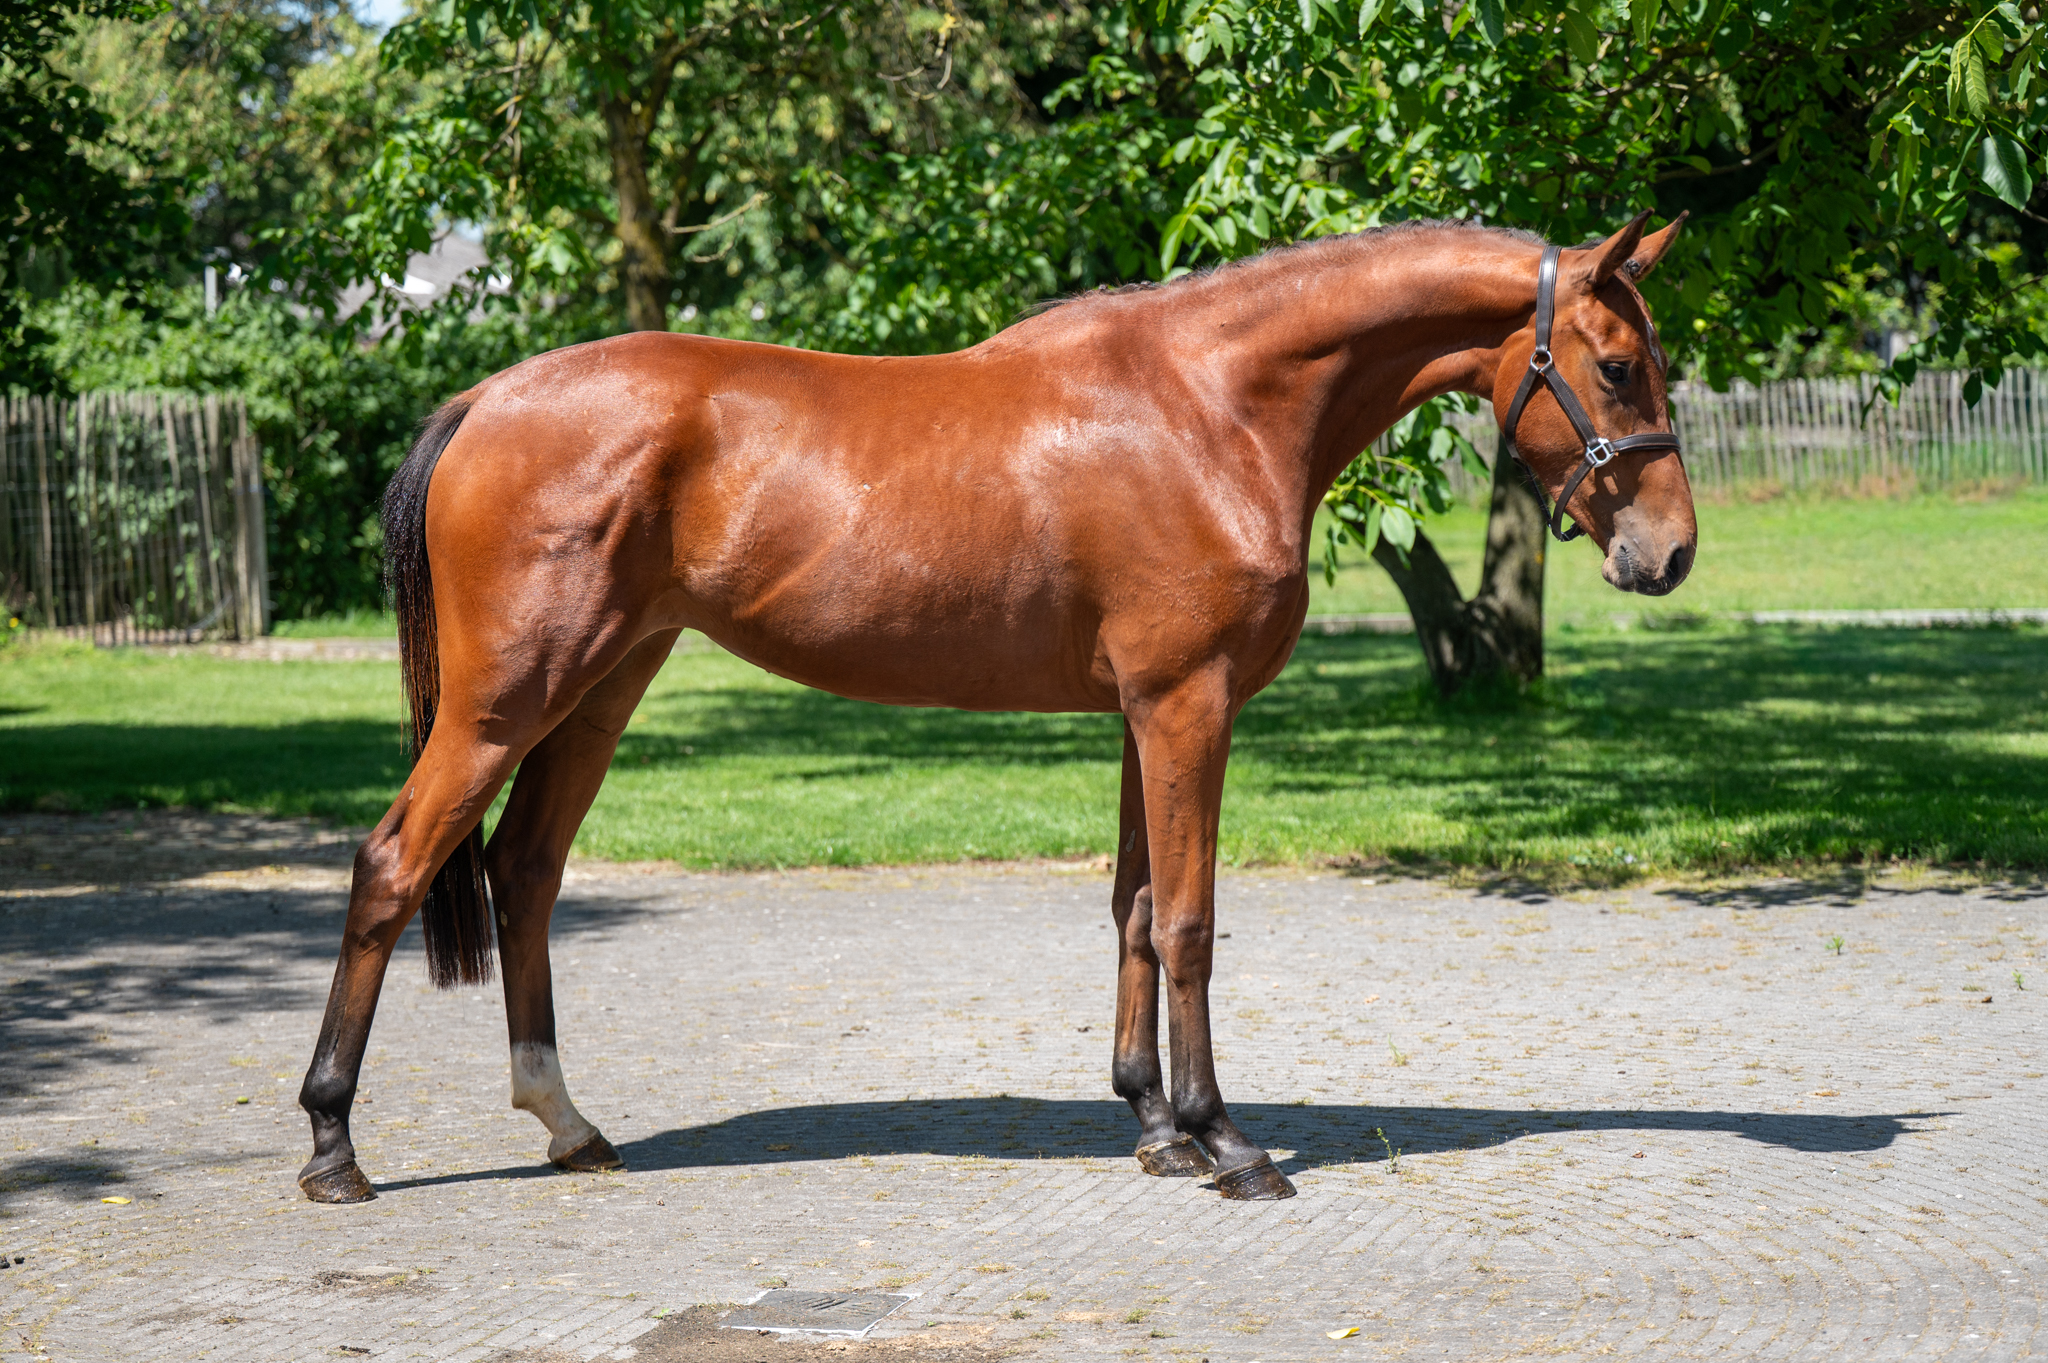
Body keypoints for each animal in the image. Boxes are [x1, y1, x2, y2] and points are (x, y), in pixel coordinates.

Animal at [297, 211, 1696, 1204]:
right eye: (1617, 366)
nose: (1669, 554)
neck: (1211, 405)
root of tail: (485, 399)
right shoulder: (1186, 704)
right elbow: (1188, 922)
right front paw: (1224, 1142)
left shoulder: (1144, 710)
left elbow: (1132, 909)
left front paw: (1153, 1127)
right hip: (503, 701)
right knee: (391, 866)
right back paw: (331, 1147)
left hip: (596, 691)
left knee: (525, 873)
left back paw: (568, 1124)